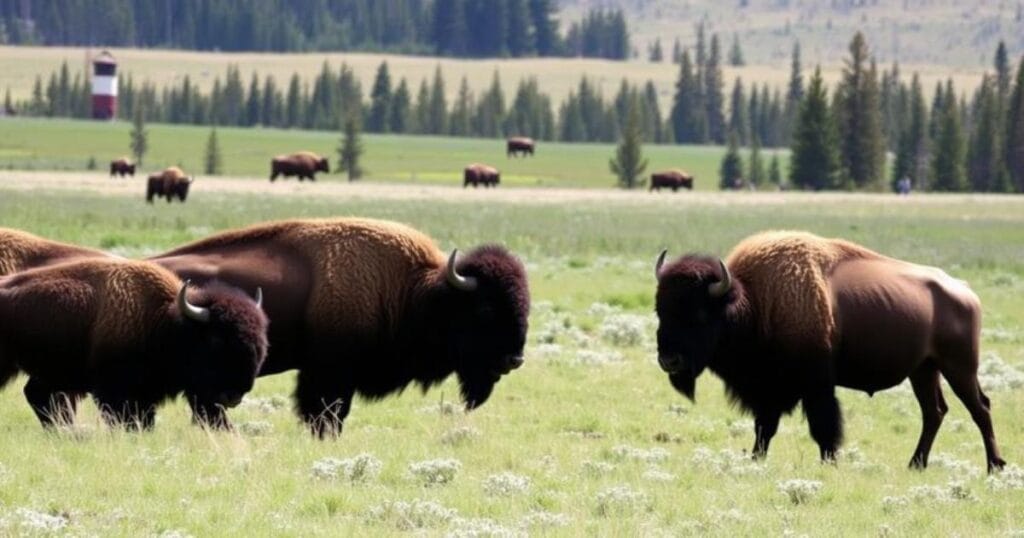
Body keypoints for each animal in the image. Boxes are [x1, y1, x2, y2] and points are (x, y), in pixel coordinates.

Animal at [0, 259, 268, 430]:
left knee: (37, 395)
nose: (235, 394)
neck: (163, 321)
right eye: (216, 339)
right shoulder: (114, 391)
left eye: (261, 340)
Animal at [654, 231, 1005, 472]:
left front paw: (830, 462)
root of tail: (965, 291)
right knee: (934, 411)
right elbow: (764, 428)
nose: (669, 360)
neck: (756, 303)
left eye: (699, 314)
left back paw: (994, 467)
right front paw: (756, 459)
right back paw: (916, 464)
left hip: (959, 367)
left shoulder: (816, 384)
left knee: (980, 408)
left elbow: (823, 426)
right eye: (660, 310)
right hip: (924, 370)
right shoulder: (768, 391)